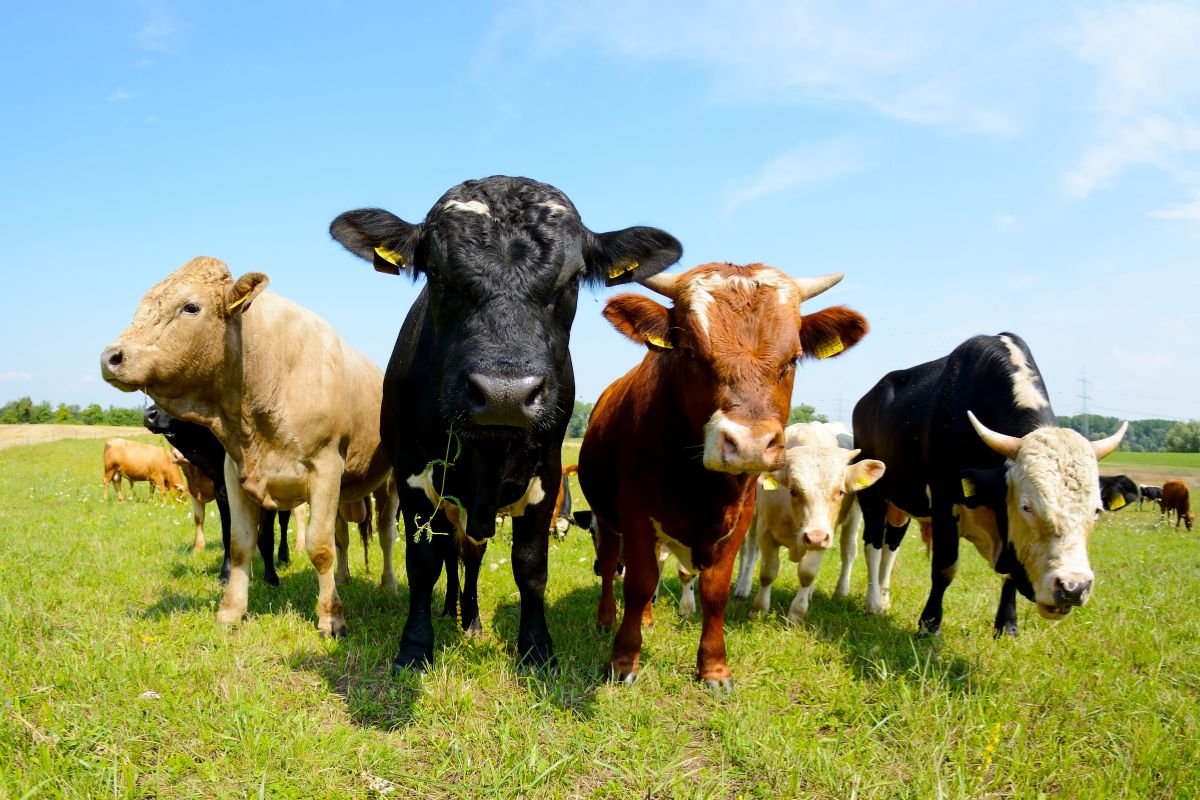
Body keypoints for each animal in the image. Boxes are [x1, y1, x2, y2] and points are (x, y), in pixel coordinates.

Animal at [101, 257, 398, 637]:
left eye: (190, 307)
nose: (111, 357)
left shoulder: (325, 468)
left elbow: (318, 547)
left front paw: (331, 617)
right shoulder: (234, 472)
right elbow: (241, 544)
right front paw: (231, 610)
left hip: (388, 484)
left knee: (386, 534)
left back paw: (388, 584)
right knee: (342, 537)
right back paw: (344, 578)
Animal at [329, 175, 682, 671]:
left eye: (573, 279)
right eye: (437, 274)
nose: (504, 394)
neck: (487, 451)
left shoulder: (546, 477)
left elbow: (530, 566)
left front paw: (536, 647)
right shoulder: (413, 476)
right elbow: (423, 562)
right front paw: (415, 646)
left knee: (471, 555)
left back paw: (470, 619)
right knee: (453, 554)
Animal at [578, 262, 869, 688]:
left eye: (793, 359)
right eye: (689, 351)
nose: (749, 443)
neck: (699, 484)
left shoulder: (740, 519)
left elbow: (715, 590)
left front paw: (714, 668)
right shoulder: (636, 515)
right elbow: (639, 581)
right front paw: (623, 661)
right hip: (607, 517)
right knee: (612, 560)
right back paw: (604, 619)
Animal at [732, 422, 885, 622]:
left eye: (840, 492)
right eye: (793, 490)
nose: (815, 537)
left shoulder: (824, 535)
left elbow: (807, 574)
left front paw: (796, 614)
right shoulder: (765, 531)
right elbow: (767, 572)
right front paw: (758, 610)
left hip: (853, 516)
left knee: (848, 551)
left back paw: (838, 591)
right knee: (749, 550)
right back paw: (742, 586)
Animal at [852, 333, 1127, 638]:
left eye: (1096, 511)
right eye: (1027, 507)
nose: (1072, 587)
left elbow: (1008, 576)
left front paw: (1007, 625)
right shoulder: (944, 500)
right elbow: (945, 568)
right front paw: (929, 624)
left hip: (901, 504)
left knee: (891, 546)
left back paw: (884, 599)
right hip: (873, 494)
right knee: (874, 544)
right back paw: (873, 602)